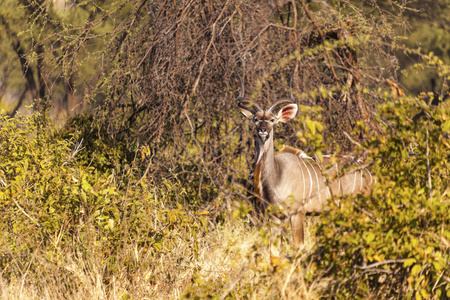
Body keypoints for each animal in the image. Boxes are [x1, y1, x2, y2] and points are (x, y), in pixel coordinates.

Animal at [239, 78, 372, 247]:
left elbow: (298, 246)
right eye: (255, 120)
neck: (277, 174)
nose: (263, 130)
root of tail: (368, 174)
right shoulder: (274, 216)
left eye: (272, 120)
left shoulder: (297, 213)